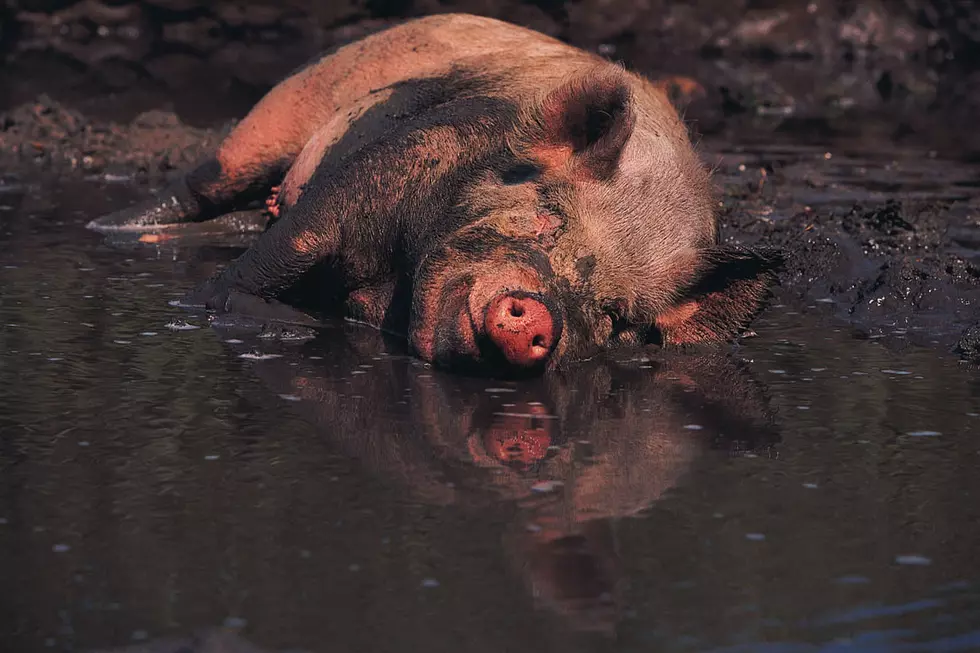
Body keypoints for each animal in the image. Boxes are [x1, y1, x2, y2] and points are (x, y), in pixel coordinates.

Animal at [87, 13, 781, 374]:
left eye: (615, 314)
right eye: (547, 218)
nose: (539, 314)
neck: (387, 290)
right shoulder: (392, 165)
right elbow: (280, 251)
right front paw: (292, 326)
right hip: (281, 107)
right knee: (206, 183)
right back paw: (112, 227)